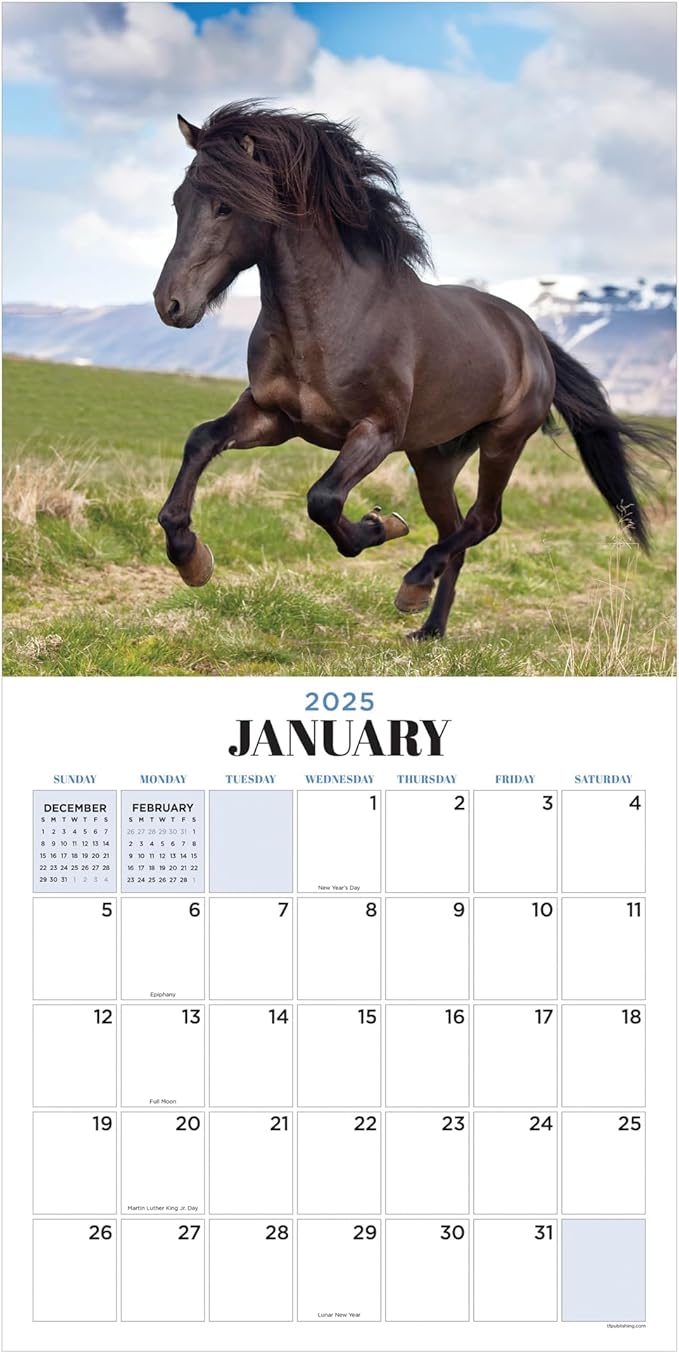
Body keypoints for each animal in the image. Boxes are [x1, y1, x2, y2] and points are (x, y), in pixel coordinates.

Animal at [154, 101, 670, 640]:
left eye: (225, 206)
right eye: (178, 201)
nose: (170, 304)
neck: (328, 318)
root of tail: (531, 337)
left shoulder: (376, 432)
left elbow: (324, 499)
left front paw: (381, 526)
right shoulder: (274, 417)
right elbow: (201, 440)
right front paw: (190, 557)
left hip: (503, 440)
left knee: (483, 521)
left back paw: (414, 584)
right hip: (434, 460)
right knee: (455, 530)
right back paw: (430, 628)